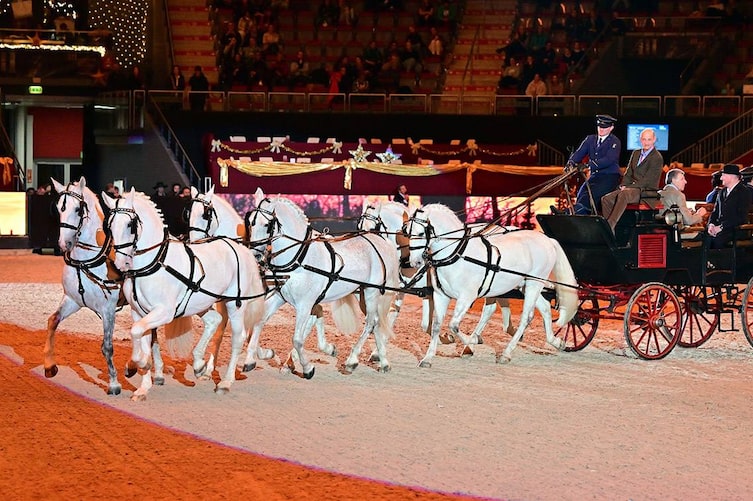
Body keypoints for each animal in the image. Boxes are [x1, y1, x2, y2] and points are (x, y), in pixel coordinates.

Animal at [102, 188, 266, 399]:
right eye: (110, 225)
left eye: (130, 225)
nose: (121, 263)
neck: (154, 263)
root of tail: (238, 247)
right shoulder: (139, 313)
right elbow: (141, 336)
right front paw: (143, 386)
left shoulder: (164, 312)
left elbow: (137, 332)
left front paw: (142, 363)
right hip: (202, 302)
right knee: (214, 320)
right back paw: (199, 365)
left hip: (235, 303)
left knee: (238, 337)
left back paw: (225, 382)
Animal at [186, 186, 332, 371]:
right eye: (189, 213)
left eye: (206, 214)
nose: (195, 243)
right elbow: (221, 330)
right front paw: (210, 366)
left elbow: (249, 329)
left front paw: (263, 355)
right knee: (316, 312)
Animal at [245, 188, 399, 377]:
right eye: (250, 222)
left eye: (267, 225)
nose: (254, 255)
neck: (299, 257)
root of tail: (380, 241)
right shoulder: (280, 296)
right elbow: (259, 321)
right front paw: (259, 356)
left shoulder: (304, 304)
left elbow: (297, 339)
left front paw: (308, 368)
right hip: (360, 292)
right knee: (376, 321)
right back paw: (383, 361)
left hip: (372, 291)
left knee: (371, 322)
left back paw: (352, 361)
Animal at [358, 201, 516, 350]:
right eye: (359, 227)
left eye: (372, 229)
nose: (364, 251)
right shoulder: (403, 289)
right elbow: (392, 314)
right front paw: (376, 352)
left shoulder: (429, 291)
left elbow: (425, 323)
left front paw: (443, 338)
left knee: (490, 308)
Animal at [405, 204, 579, 367]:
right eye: (407, 231)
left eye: (421, 233)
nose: (415, 262)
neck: (457, 254)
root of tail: (547, 240)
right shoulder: (441, 296)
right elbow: (436, 325)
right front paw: (427, 359)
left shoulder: (467, 297)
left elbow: (453, 325)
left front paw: (473, 341)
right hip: (525, 284)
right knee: (544, 307)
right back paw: (556, 342)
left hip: (534, 283)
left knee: (526, 317)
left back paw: (506, 354)